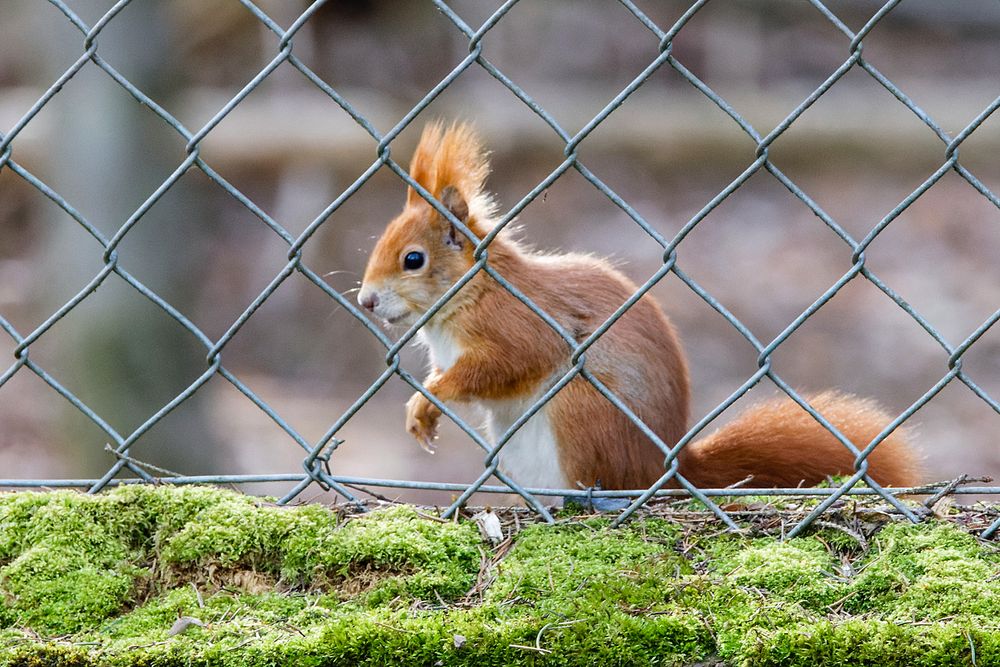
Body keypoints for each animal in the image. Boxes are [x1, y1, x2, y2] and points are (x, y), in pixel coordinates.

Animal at [358, 121, 920, 490]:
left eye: (413, 259)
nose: (365, 300)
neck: (471, 294)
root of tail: (664, 471)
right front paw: (422, 413)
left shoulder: (519, 326)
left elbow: (504, 366)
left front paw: (429, 397)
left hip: (582, 413)